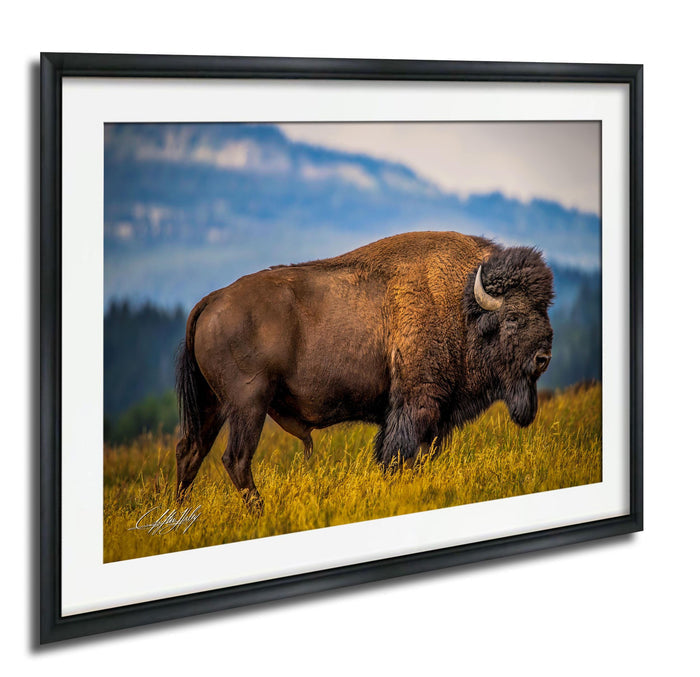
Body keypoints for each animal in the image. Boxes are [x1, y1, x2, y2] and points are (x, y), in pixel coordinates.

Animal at [175, 231, 554, 512]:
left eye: (543, 309)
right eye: (512, 317)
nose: (544, 357)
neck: (461, 305)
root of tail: (211, 300)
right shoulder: (416, 405)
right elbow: (398, 456)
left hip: (213, 405)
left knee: (190, 452)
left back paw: (179, 516)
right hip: (248, 404)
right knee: (235, 458)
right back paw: (258, 511)